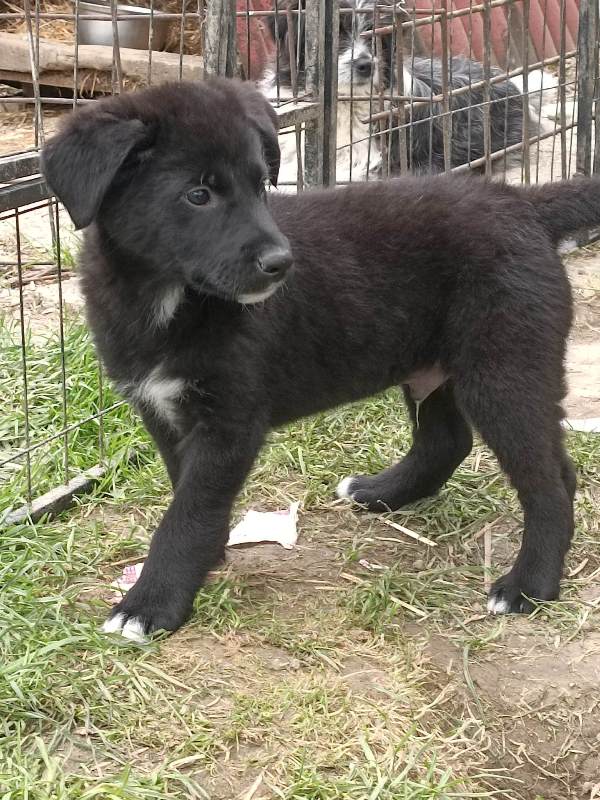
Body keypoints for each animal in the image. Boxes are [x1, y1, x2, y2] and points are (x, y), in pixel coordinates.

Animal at [43, 79, 600, 644]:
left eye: (261, 186)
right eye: (198, 195)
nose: (281, 264)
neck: (168, 299)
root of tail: (523, 202)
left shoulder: (230, 422)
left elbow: (189, 512)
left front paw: (152, 602)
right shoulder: (160, 410)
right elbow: (187, 493)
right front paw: (206, 560)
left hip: (503, 368)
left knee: (549, 480)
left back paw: (530, 584)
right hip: (433, 367)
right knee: (449, 441)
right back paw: (380, 492)